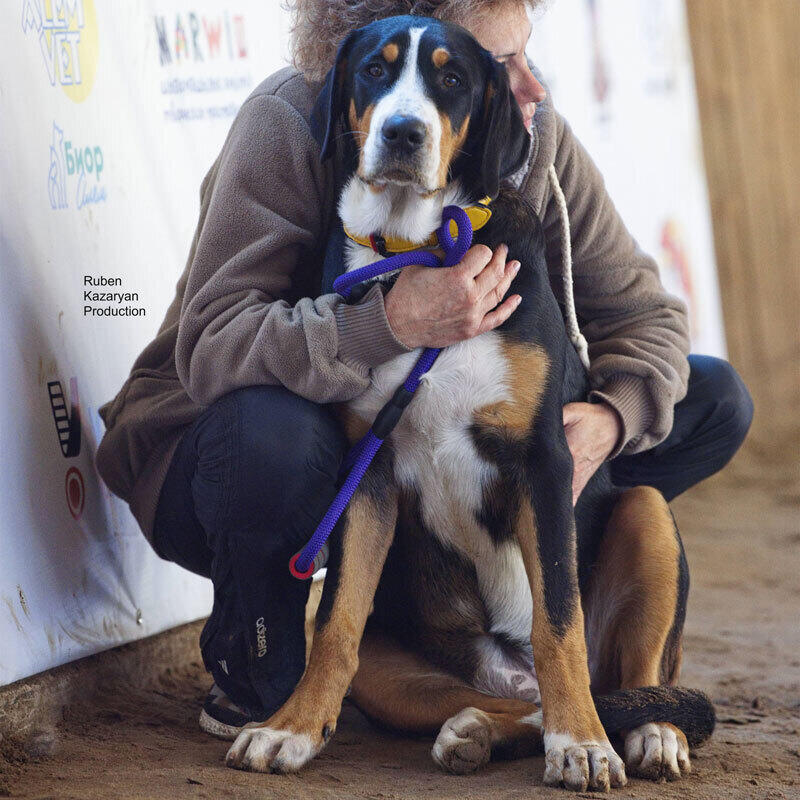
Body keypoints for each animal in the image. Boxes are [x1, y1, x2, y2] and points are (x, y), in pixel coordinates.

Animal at [223, 15, 712, 792]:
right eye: (374, 69)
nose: (403, 133)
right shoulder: (368, 468)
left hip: (646, 514)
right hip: (403, 668)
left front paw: (583, 746)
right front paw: (289, 730)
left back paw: (645, 735)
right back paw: (477, 729)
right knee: (510, 705)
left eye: (452, 79)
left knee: (631, 679)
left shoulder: (544, 459)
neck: (421, 247)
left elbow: (558, 621)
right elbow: (334, 623)